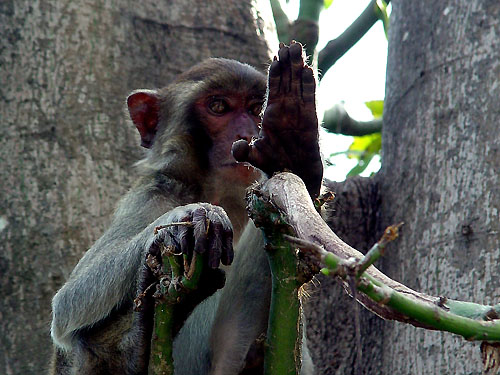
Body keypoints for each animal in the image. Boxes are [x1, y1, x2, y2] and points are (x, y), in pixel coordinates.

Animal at [50, 41, 322, 375]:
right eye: (218, 107)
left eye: (255, 108)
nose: (246, 133)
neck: (222, 195)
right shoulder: (153, 194)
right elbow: (68, 306)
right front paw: (186, 219)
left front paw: (291, 143)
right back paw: (137, 344)